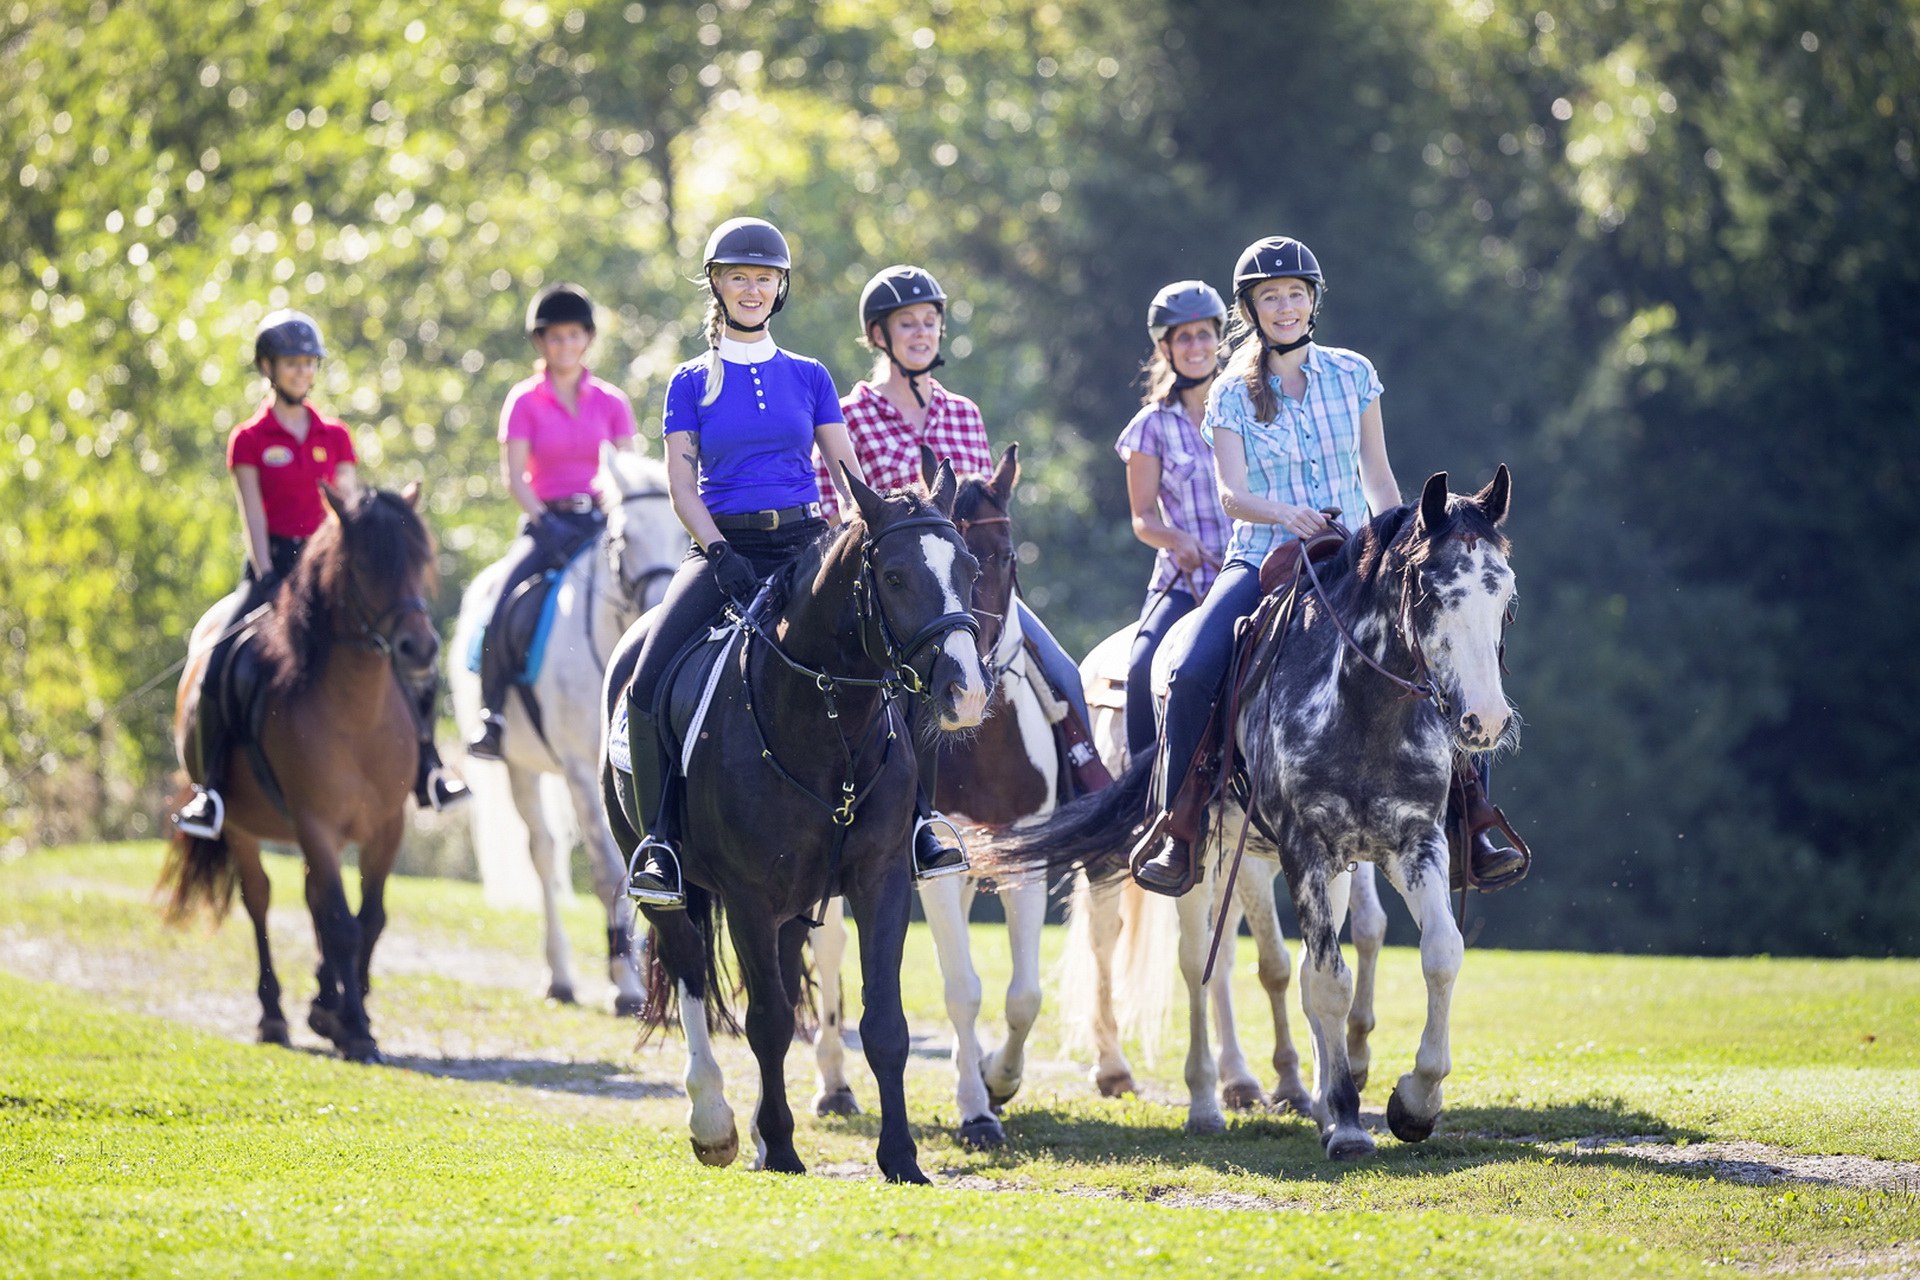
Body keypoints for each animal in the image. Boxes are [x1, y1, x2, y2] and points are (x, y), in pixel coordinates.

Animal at [163, 485, 439, 1066]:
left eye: (420, 559)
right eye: (363, 565)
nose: (419, 649)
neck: (357, 713)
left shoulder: (386, 826)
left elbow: (368, 918)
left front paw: (342, 1010)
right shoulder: (316, 822)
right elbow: (341, 924)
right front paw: (356, 1029)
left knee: (314, 901)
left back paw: (323, 1000)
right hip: (242, 828)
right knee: (260, 901)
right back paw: (274, 1014)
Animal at [445, 445, 687, 1013]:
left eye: (680, 530)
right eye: (622, 538)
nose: (658, 612)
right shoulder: (580, 771)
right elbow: (607, 870)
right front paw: (624, 982)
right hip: (519, 768)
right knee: (543, 852)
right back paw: (560, 976)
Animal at [599, 468, 990, 1182]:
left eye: (970, 570)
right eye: (894, 576)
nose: (966, 692)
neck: (826, 724)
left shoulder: (881, 880)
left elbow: (883, 1023)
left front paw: (901, 1158)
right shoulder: (749, 895)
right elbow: (769, 1022)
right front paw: (780, 1149)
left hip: (792, 904)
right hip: (669, 884)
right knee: (690, 970)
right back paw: (716, 1123)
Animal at [990, 470, 1512, 1159]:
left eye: (1505, 592)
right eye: (1430, 591)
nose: (1486, 720)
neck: (1361, 705)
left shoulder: (1413, 843)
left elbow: (1439, 955)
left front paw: (1412, 1102)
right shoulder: (1302, 849)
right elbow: (1324, 980)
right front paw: (1347, 1123)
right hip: (1194, 858)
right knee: (1187, 959)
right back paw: (1199, 1098)